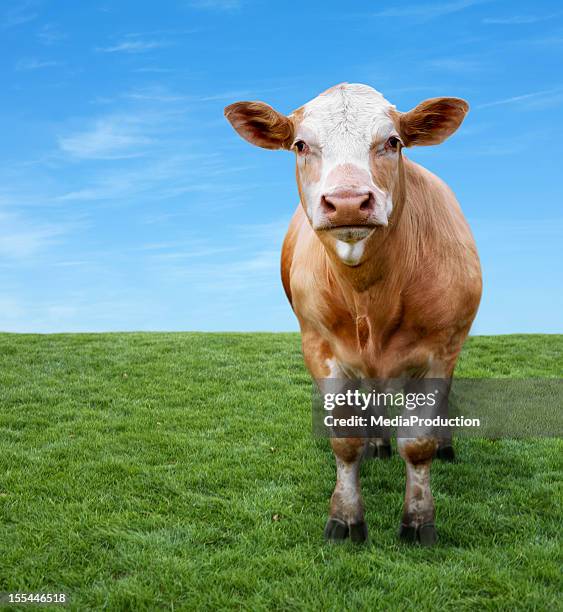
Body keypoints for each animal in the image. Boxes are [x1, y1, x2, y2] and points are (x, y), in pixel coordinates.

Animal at [226, 81, 484, 544]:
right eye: (300, 144)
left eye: (393, 142)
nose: (347, 202)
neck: (371, 296)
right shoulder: (319, 347)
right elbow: (344, 440)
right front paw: (345, 517)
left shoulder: (439, 349)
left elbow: (418, 443)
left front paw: (418, 520)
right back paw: (378, 443)